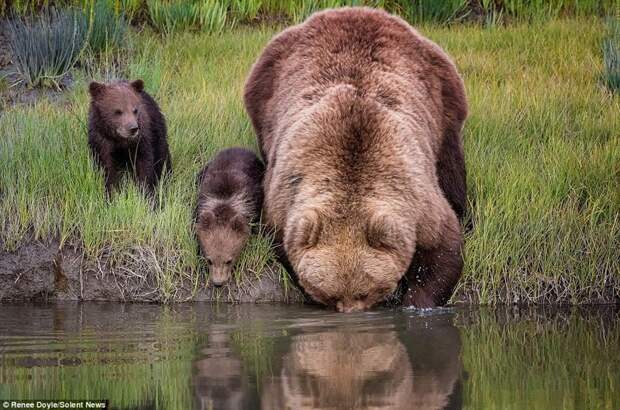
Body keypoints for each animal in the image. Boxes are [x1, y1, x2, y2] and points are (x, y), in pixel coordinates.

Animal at [245, 6, 468, 310]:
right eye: (331, 294)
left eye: (366, 291)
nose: (351, 313)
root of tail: (354, 9)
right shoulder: (284, 200)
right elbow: (282, 245)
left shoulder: (418, 199)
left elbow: (443, 248)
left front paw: (416, 300)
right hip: (265, 91)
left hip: (442, 95)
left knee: (451, 167)